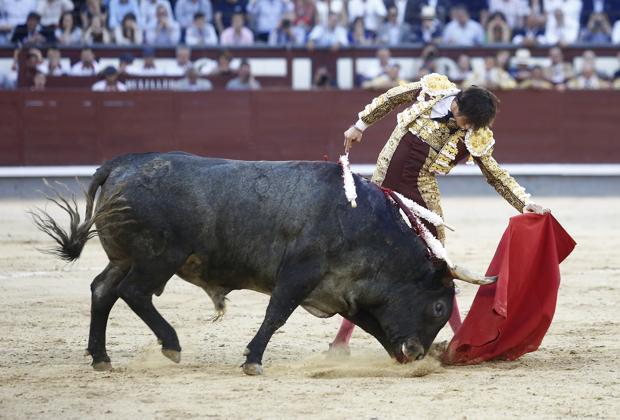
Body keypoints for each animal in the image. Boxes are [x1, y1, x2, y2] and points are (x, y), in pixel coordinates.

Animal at [31, 153, 480, 376]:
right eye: (438, 306)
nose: (416, 353)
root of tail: (120, 165)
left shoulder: (342, 289)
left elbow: (372, 323)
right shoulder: (300, 275)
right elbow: (276, 314)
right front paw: (252, 361)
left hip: (125, 258)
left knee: (103, 290)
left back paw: (100, 357)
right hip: (156, 259)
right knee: (133, 293)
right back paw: (171, 345)